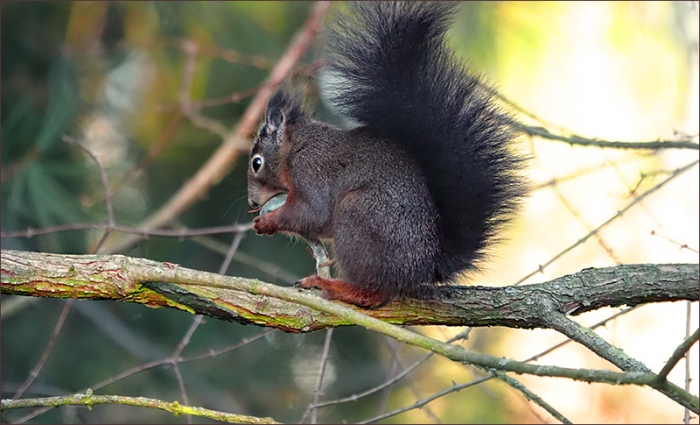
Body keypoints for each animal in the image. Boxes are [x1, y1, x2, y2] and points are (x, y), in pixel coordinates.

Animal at [247, 2, 528, 308]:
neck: (297, 147)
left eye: (256, 163)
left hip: (359, 214)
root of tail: (423, 267)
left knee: (375, 292)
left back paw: (337, 287)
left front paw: (268, 221)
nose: (252, 202)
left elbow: (313, 212)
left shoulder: (311, 170)